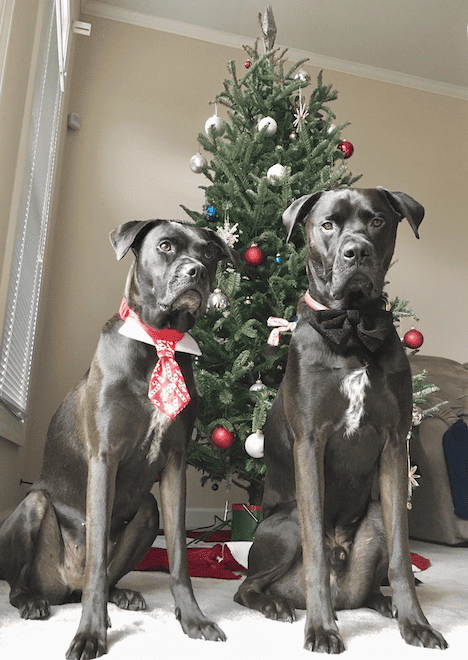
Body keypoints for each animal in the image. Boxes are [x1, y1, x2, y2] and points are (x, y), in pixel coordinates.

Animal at [0, 220, 236, 660]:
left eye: (210, 253)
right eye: (166, 246)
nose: (196, 272)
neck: (159, 342)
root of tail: (65, 588)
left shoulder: (175, 465)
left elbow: (178, 557)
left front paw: (193, 619)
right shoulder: (104, 458)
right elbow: (96, 561)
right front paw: (90, 634)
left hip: (147, 511)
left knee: (111, 571)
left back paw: (122, 595)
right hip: (34, 506)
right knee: (25, 582)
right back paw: (33, 601)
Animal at [236, 188, 448, 652]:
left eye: (378, 221)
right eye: (328, 224)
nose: (357, 252)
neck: (351, 327)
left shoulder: (394, 443)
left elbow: (403, 559)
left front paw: (416, 623)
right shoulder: (310, 443)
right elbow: (314, 551)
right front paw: (320, 628)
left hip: (375, 516)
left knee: (370, 583)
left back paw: (382, 603)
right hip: (285, 524)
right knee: (247, 587)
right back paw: (278, 605)